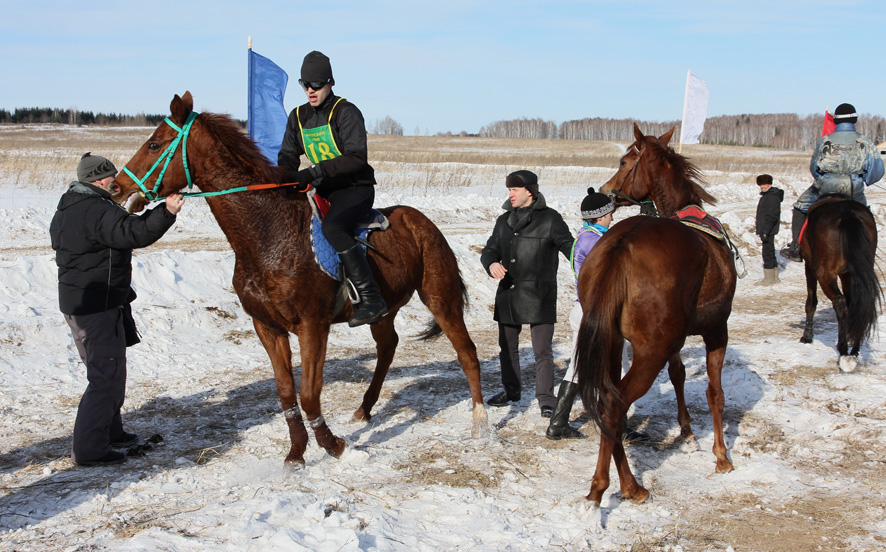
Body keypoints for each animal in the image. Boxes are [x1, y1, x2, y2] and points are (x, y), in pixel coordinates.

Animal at [112, 91, 492, 466]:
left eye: (154, 144)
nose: (117, 186)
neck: (267, 234)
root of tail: (423, 222)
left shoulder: (313, 325)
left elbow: (309, 395)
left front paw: (334, 446)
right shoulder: (268, 327)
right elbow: (286, 393)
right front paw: (296, 452)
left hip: (440, 297)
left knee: (467, 352)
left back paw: (480, 420)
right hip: (384, 310)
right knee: (388, 347)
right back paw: (365, 408)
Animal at [572, 124, 740, 504]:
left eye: (624, 161)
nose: (606, 190)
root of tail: (623, 243)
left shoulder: (675, 339)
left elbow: (679, 375)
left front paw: (688, 433)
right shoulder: (716, 329)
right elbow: (715, 393)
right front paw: (721, 456)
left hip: (613, 342)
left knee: (608, 401)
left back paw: (629, 486)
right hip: (650, 351)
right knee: (615, 404)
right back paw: (604, 488)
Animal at [800, 196, 884, 374]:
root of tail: (847, 212)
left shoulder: (809, 266)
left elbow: (811, 302)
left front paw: (807, 336)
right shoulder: (847, 273)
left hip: (824, 272)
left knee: (839, 301)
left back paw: (844, 350)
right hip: (857, 270)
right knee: (860, 304)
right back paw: (854, 350)